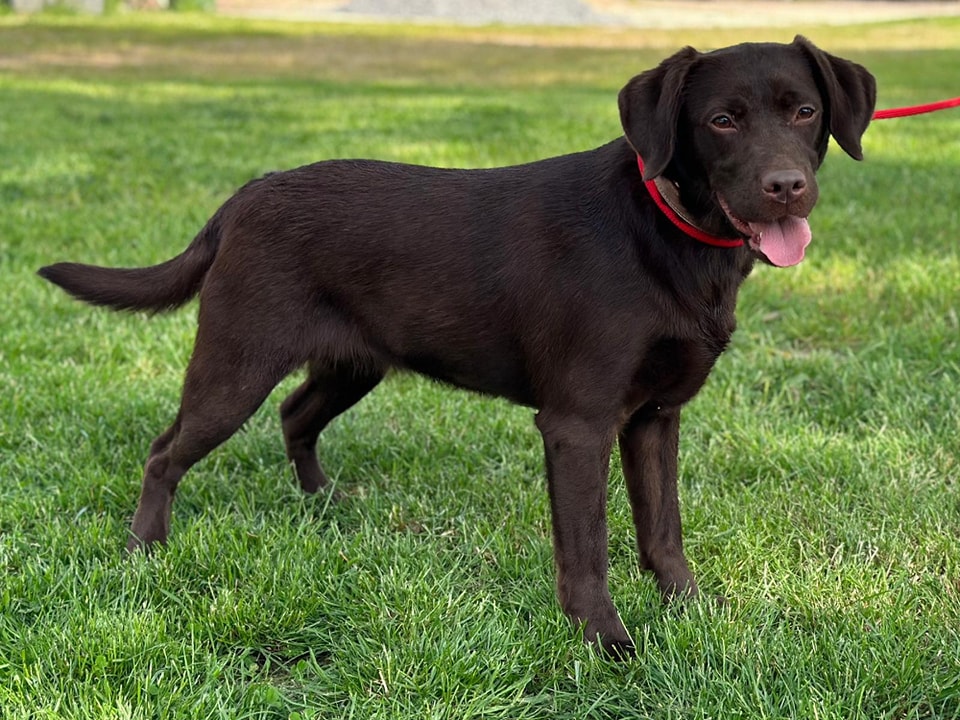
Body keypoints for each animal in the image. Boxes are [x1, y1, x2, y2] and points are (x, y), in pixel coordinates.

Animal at [39, 38, 876, 660]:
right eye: (722, 120)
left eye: (805, 110)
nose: (786, 186)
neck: (667, 230)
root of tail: (244, 195)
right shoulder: (578, 424)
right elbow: (588, 548)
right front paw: (606, 643)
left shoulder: (654, 418)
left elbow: (662, 529)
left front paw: (691, 611)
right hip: (236, 363)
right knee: (166, 451)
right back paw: (145, 549)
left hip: (353, 364)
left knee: (295, 414)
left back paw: (321, 503)